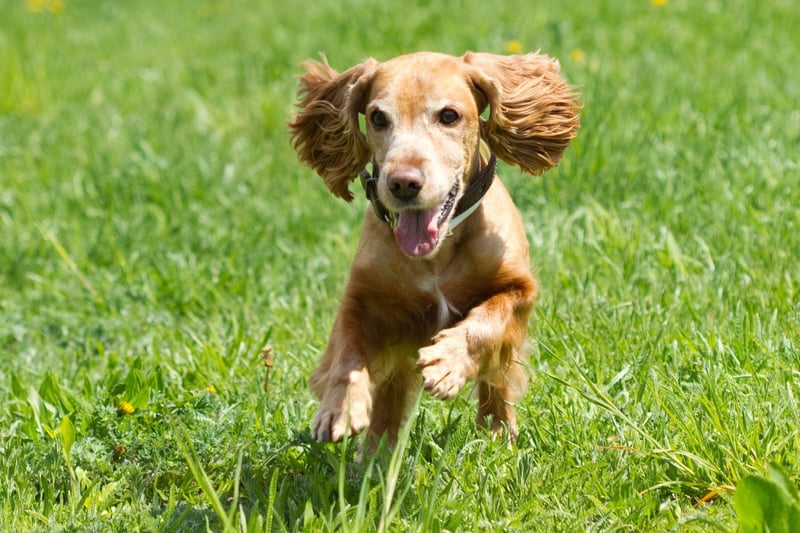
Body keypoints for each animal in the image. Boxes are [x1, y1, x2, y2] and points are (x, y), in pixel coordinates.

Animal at [290, 52, 580, 446]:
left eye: (449, 115)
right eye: (378, 117)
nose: (403, 183)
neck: (437, 252)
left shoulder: (520, 288)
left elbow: (487, 321)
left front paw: (447, 362)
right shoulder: (362, 296)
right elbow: (348, 351)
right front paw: (340, 406)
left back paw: (497, 433)